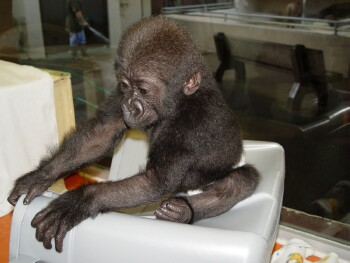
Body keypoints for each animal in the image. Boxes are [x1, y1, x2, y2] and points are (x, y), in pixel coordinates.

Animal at [8, 17, 260, 254]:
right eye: (125, 86)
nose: (129, 105)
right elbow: (99, 136)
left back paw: (184, 212)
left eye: (144, 90)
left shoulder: (194, 123)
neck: (181, 101)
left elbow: (156, 181)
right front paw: (38, 177)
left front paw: (79, 200)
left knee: (242, 180)